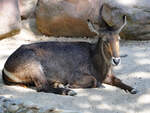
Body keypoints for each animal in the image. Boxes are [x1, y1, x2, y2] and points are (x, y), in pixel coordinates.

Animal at [1, 6, 137, 96]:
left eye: (118, 39)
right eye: (105, 40)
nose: (116, 60)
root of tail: (5, 66)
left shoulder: (109, 76)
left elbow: (118, 80)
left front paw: (133, 89)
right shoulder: (76, 75)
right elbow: (94, 80)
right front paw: (70, 85)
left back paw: (59, 85)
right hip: (35, 67)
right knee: (42, 87)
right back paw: (67, 90)